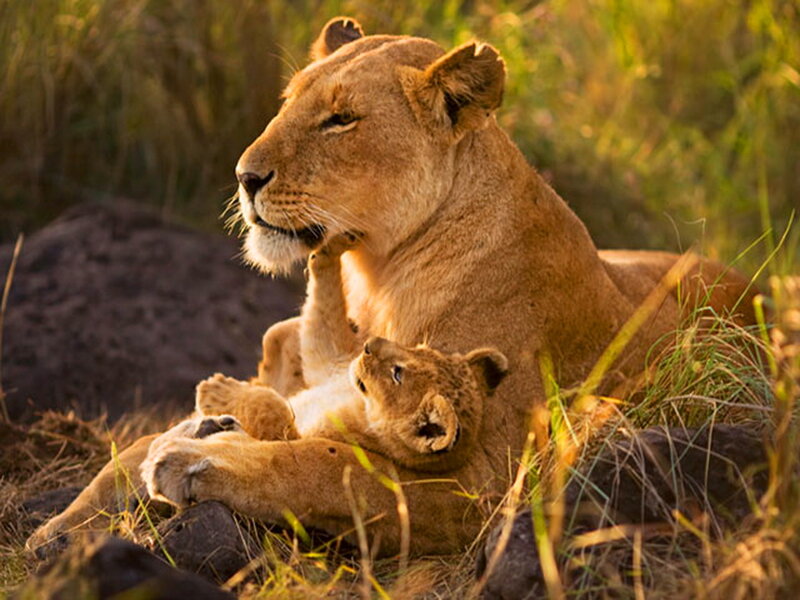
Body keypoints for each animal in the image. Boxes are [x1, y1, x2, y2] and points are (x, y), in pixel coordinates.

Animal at [28, 17, 757, 557]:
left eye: (340, 120)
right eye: (288, 102)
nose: (244, 176)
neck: (381, 274)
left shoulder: (482, 481)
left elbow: (330, 468)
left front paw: (201, 462)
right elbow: (133, 448)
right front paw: (58, 532)